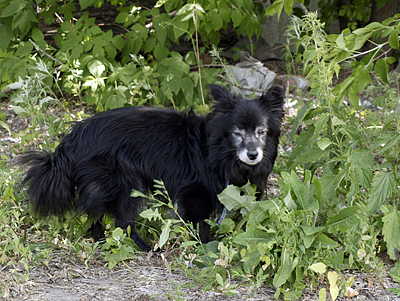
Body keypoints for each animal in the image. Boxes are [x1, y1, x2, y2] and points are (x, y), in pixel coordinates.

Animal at [18, 85, 284, 251]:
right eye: (237, 133)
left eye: (261, 132)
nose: (253, 154)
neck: (218, 153)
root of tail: (71, 140)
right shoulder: (193, 194)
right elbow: (199, 224)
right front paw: (202, 248)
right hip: (126, 184)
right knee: (122, 222)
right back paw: (145, 247)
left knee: (97, 217)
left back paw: (103, 242)